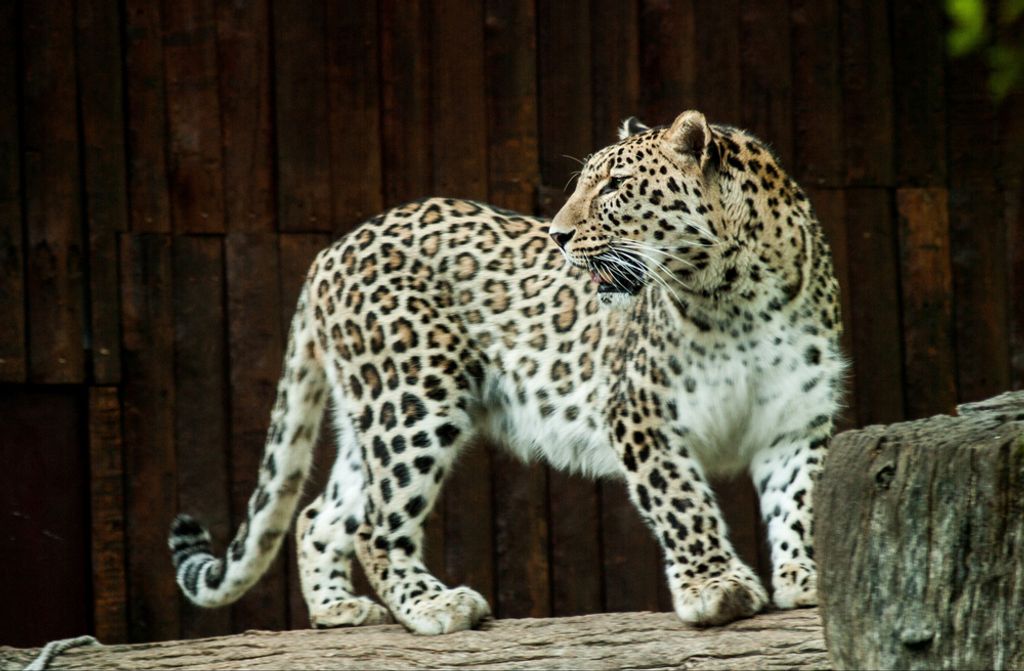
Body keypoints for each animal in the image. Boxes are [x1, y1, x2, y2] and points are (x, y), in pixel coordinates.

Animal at [169, 110, 845, 635]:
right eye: (585, 183)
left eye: (615, 185)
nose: (559, 235)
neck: (737, 295)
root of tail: (330, 251)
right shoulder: (641, 413)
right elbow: (682, 503)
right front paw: (716, 586)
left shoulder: (797, 417)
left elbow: (800, 499)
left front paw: (806, 575)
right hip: (414, 400)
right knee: (378, 527)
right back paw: (434, 606)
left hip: (376, 411)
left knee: (323, 515)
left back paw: (338, 609)